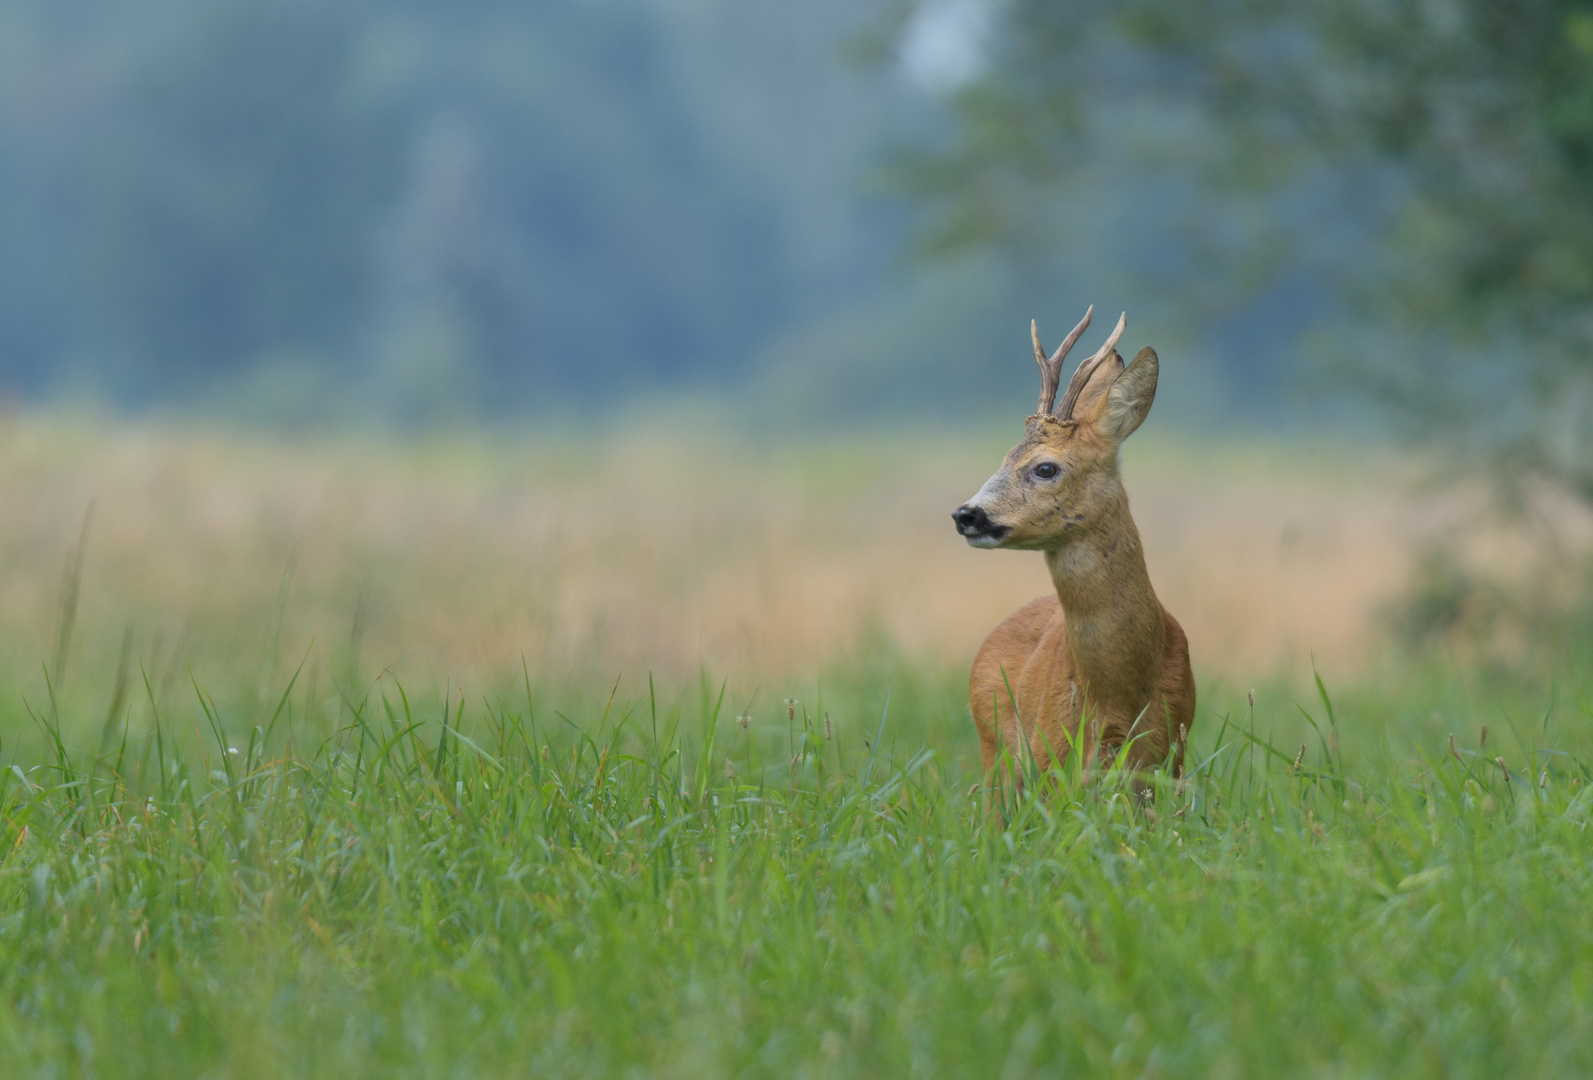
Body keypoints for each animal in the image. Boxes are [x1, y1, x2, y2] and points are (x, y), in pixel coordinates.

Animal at [943, 304, 1197, 786]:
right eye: (1003, 458)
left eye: (1045, 467)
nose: (966, 515)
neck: (1122, 693)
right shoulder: (1051, 759)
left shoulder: (1170, 757)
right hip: (996, 754)